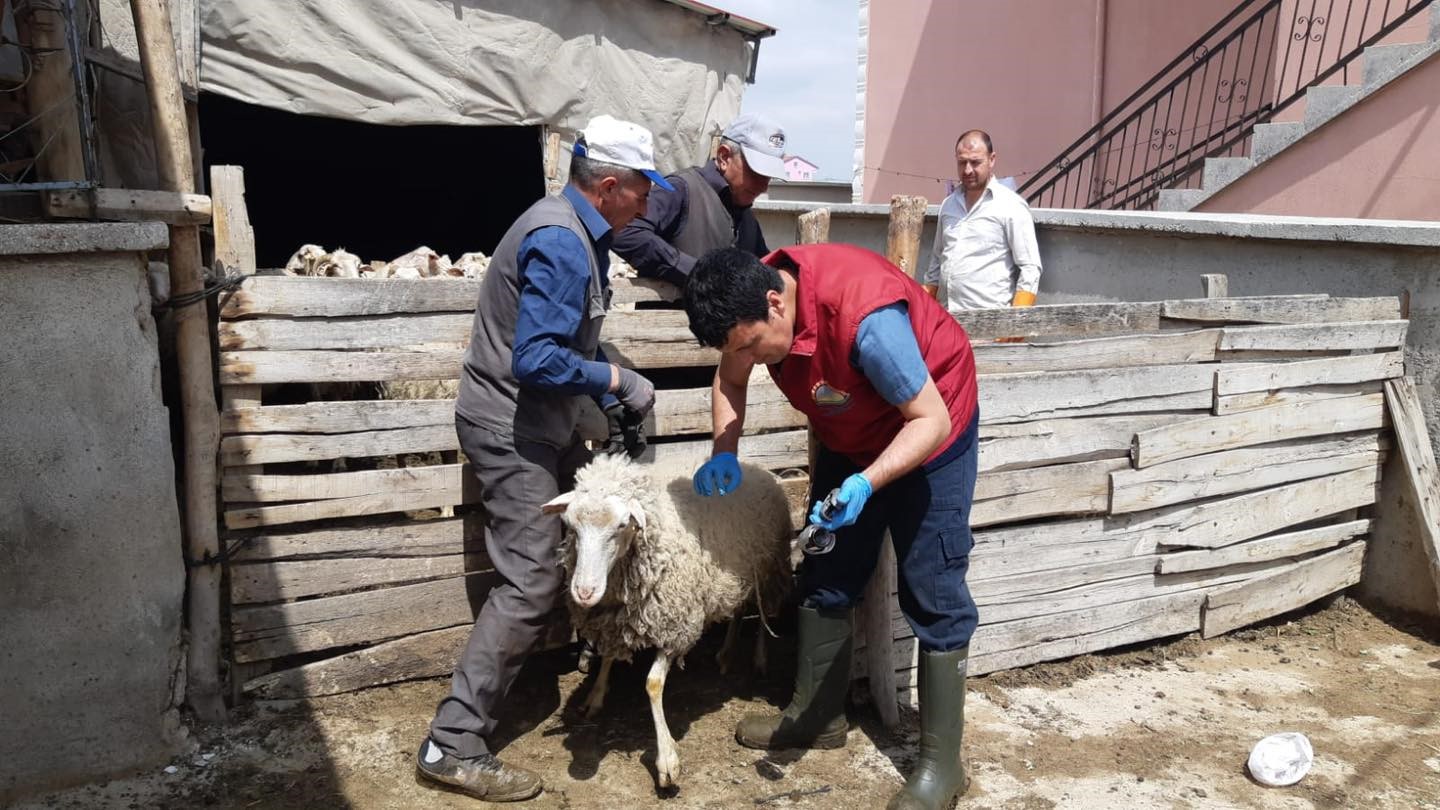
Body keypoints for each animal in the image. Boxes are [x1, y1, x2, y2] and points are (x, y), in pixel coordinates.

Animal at [544, 455, 800, 789]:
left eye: (622, 525)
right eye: (572, 527)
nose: (584, 592)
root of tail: (754, 466)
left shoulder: (676, 626)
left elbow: (653, 684)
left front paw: (667, 759)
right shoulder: (618, 620)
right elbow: (609, 656)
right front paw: (596, 697)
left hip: (768, 566)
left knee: (763, 614)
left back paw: (758, 659)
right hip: (735, 572)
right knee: (738, 610)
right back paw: (727, 654)